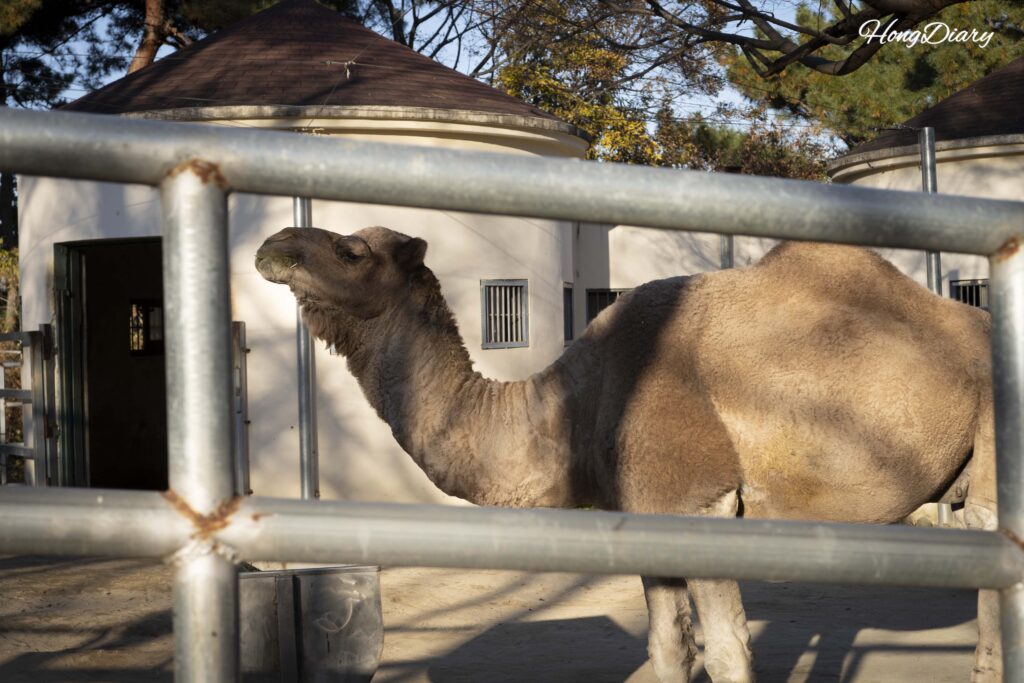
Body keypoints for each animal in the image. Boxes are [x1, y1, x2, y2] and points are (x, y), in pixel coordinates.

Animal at [256, 225, 999, 682]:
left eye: (352, 250)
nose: (274, 244)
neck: (578, 402)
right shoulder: (649, 514)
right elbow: (669, 649)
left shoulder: (698, 502)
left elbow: (728, 653)